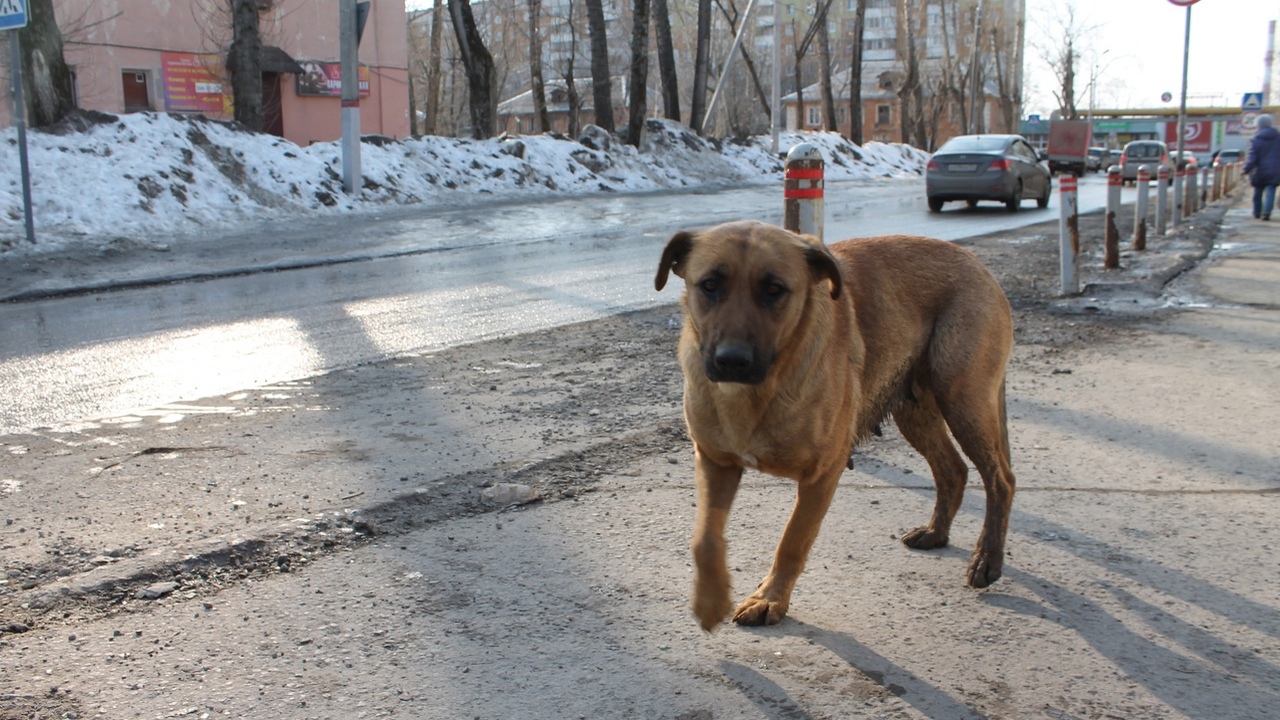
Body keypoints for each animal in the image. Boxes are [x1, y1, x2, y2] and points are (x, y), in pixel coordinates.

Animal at [655, 220, 1013, 627]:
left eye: (774, 290)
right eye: (710, 285)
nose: (732, 361)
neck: (758, 394)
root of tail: (976, 263)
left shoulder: (822, 474)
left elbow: (793, 540)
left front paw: (770, 597)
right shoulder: (714, 462)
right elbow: (705, 538)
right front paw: (710, 599)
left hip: (963, 400)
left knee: (1001, 479)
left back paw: (987, 559)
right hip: (915, 411)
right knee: (953, 470)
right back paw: (936, 532)